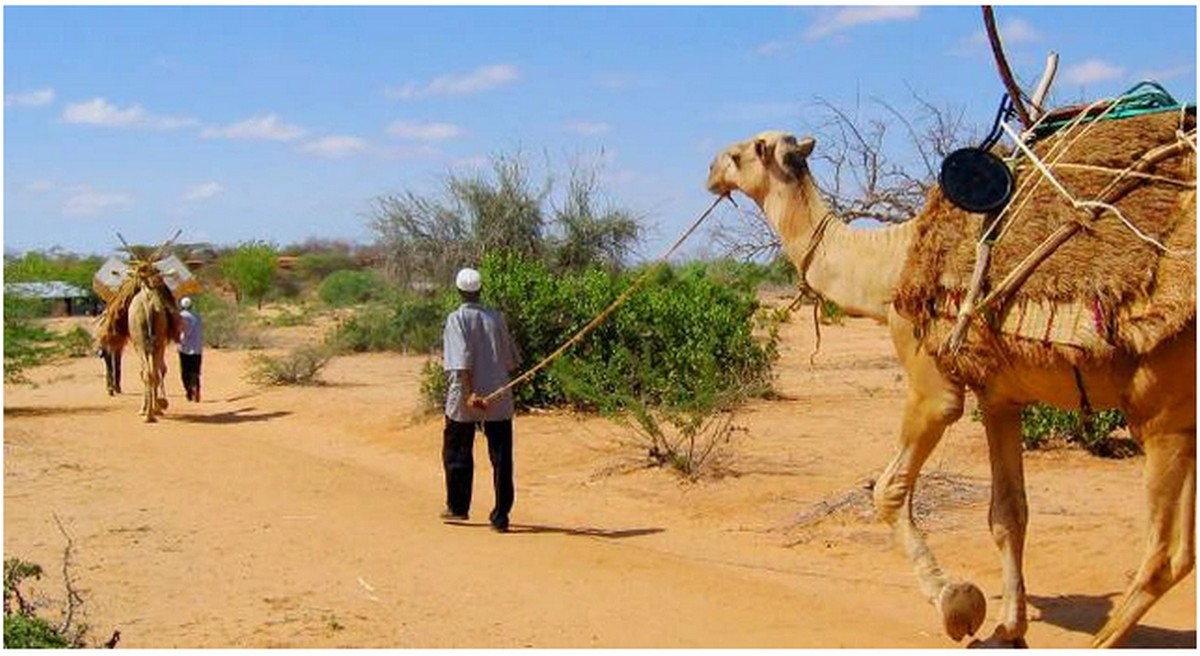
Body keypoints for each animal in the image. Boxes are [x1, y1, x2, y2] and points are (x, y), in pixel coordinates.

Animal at [705, 121, 1195, 647]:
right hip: (1184, 419)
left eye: (738, 154)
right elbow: (1008, 513)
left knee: (1166, 553)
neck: (888, 265)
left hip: (1161, 408)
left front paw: (956, 602)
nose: (710, 172)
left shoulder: (930, 380)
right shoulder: (1000, 396)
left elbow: (888, 489)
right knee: (1181, 552)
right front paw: (1008, 628)